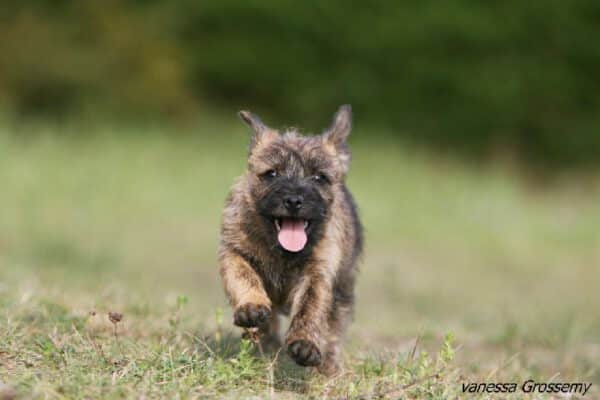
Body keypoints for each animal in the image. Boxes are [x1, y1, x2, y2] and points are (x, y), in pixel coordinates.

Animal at [219, 104, 364, 374]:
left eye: (320, 177)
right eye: (271, 174)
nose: (294, 200)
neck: (282, 252)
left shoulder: (318, 273)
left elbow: (311, 308)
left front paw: (305, 343)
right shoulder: (233, 251)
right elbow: (243, 277)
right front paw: (252, 307)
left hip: (343, 291)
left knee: (334, 328)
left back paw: (327, 364)